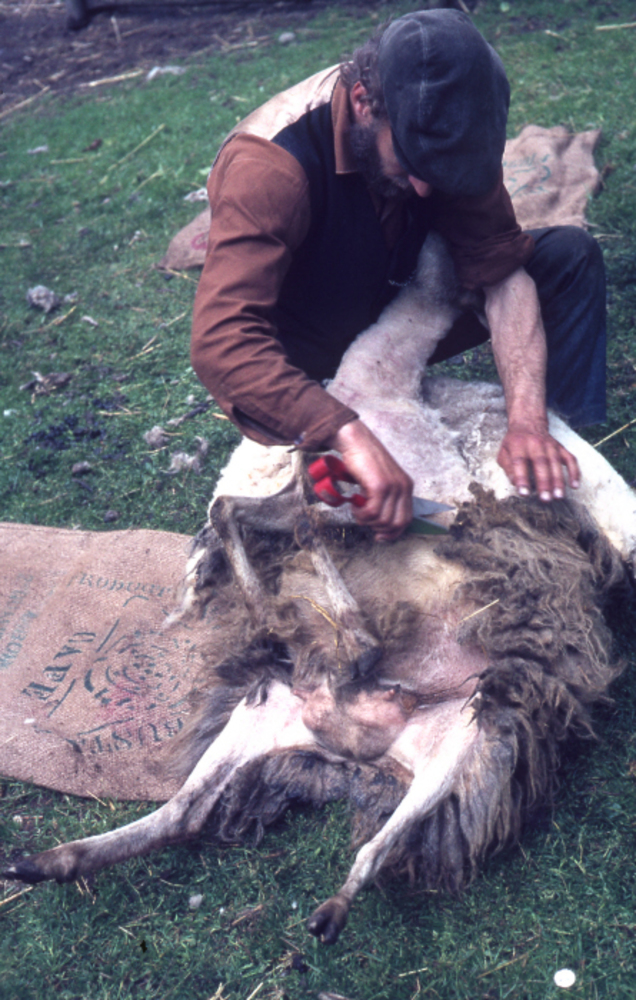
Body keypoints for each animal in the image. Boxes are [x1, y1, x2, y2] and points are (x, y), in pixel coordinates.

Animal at [4, 233, 635, 947]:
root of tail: (351, 740)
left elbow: (253, 515)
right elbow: (257, 516)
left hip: (454, 738)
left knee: (281, 817)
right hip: (294, 714)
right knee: (198, 805)